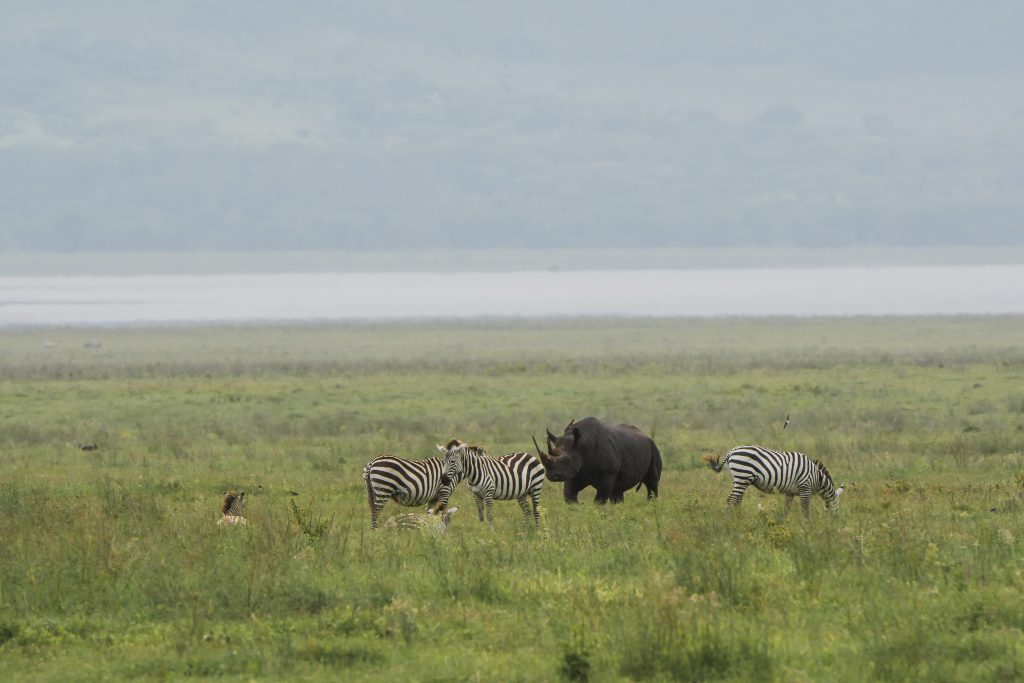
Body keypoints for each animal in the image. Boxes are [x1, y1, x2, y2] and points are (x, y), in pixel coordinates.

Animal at [533, 417, 662, 504]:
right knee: (617, 490)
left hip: (654, 448)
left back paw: (652, 505)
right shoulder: (575, 472)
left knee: (652, 483)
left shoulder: (608, 472)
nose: (551, 475)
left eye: (568, 460)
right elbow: (570, 496)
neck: (582, 445)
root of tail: (645, 436)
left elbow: (599, 499)